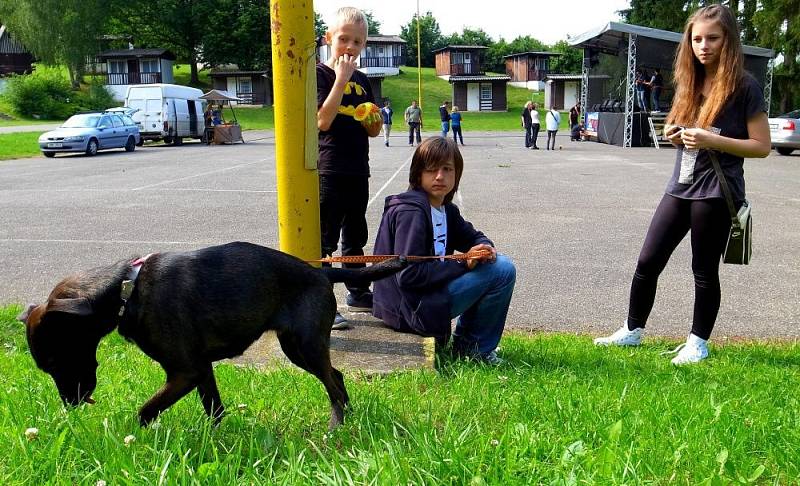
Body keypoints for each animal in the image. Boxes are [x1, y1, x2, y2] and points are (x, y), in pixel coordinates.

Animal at [18, 242, 406, 430]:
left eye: (55, 358)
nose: (70, 404)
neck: (128, 289)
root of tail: (320, 272)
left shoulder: (185, 373)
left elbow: (145, 410)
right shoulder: (202, 369)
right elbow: (214, 409)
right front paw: (218, 442)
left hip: (304, 346)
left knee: (333, 382)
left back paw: (336, 426)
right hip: (297, 347)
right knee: (336, 377)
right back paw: (347, 418)